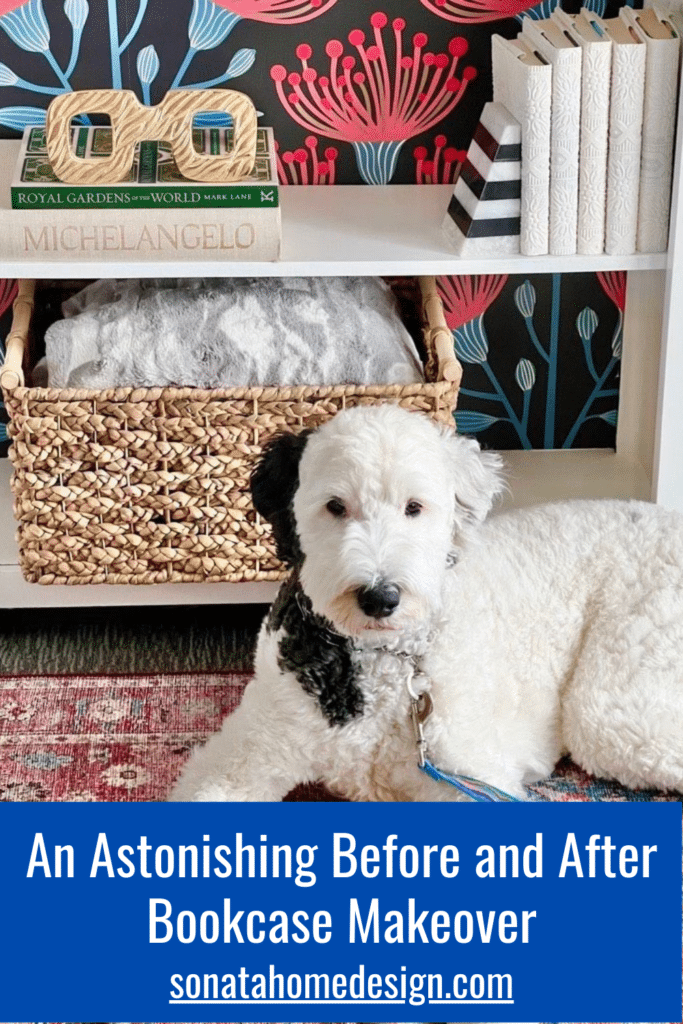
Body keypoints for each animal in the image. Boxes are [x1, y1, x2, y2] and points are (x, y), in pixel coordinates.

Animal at [169, 403, 683, 802]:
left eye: (414, 507)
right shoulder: (247, 752)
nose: (380, 597)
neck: (385, 663)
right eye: (335, 506)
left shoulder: (468, 776)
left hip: (615, 703)